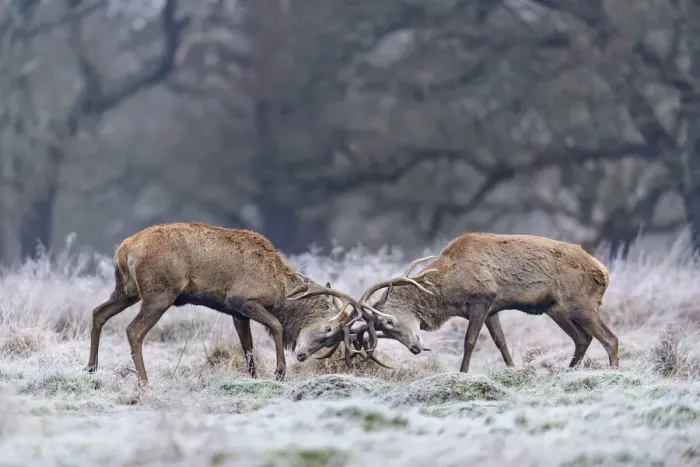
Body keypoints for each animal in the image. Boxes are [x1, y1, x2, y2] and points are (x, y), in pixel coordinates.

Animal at [84, 222, 387, 386]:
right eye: (328, 331)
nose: (301, 355)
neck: (278, 290)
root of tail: (124, 249)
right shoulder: (241, 299)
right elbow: (275, 326)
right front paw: (279, 372)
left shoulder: (236, 313)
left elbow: (248, 347)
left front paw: (254, 378)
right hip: (160, 293)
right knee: (133, 330)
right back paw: (144, 381)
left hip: (127, 290)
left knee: (98, 312)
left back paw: (91, 368)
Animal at [353, 233, 620, 373]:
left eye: (388, 321)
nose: (415, 348)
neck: (449, 291)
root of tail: (604, 272)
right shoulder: (492, 309)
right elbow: (501, 343)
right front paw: (512, 369)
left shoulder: (481, 298)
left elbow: (469, 341)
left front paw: (462, 373)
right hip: (556, 308)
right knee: (582, 338)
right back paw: (568, 370)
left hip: (580, 303)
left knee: (610, 339)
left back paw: (613, 371)